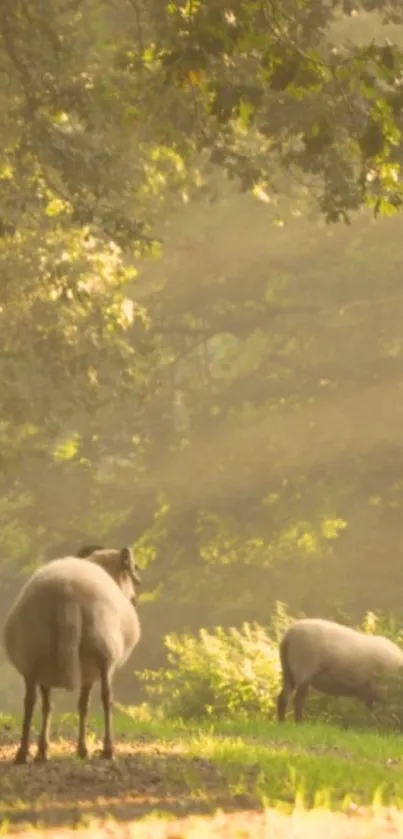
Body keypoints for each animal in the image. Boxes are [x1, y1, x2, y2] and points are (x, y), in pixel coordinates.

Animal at [3, 544, 141, 768]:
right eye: (129, 574)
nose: (134, 600)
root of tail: (67, 598)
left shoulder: (55, 672)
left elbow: (49, 706)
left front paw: (44, 750)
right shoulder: (90, 672)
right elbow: (85, 705)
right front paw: (83, 749)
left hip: (34, 654)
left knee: (31, 702)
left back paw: (24, 753)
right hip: (103, 651)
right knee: (106, 698)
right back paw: (108, 750)